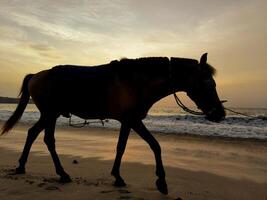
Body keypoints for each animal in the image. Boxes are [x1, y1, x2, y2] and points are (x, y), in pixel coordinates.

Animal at [1, 53, 226, 194]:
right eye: (208, 84)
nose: (220, 114)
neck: (137, 82)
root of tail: (35, 75)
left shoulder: (128, 121)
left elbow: (121, 147)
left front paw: (117, 176)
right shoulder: (133, 120)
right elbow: (155, 145)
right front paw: (161, 181)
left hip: (50, 115)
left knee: (33, 133)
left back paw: (22, 166)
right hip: (50, 114)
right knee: (48, 139)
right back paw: (61, 173)